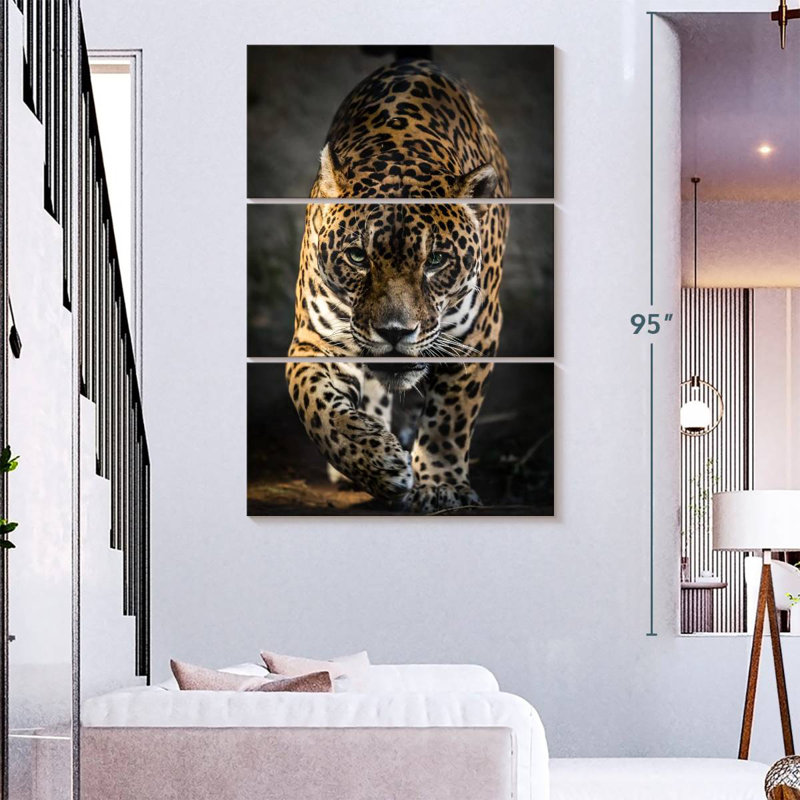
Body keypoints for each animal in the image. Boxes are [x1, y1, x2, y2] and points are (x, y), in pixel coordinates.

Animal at [285, 58, 510, 512]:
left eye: (436, 260)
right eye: (358, 257)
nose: (394, 332)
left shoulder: (478, 334)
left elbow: (451, 417)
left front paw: (441, 485)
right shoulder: (314, 340)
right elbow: (317, 406)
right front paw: (377, 463)